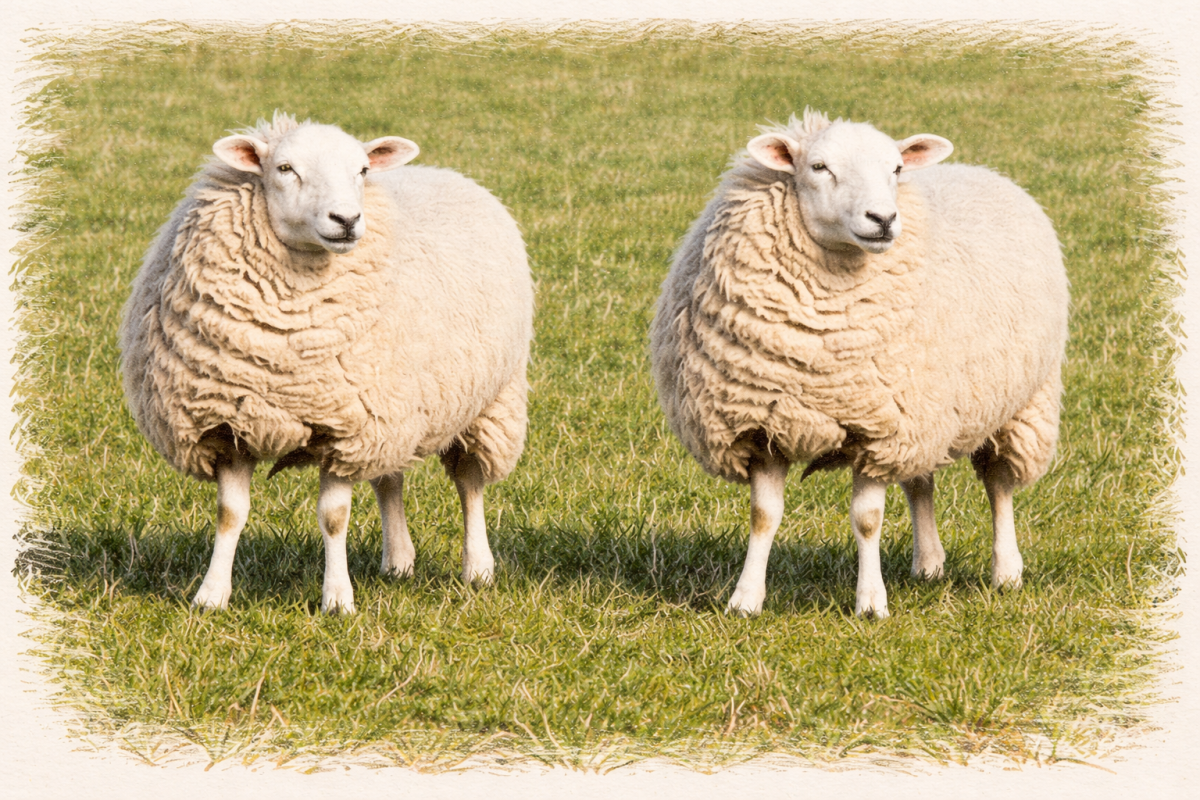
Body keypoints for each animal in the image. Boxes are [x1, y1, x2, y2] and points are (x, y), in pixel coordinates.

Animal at [119, 113, 534, 613]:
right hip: (394, 410)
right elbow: (229, 514)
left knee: (470, 482)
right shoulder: (231, 424)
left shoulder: (346, 430)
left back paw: (477, 569)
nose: (347, 220)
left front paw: (337, 600)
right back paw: (398, 561)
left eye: (362, 170)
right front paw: (211, 595)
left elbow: (334, 517)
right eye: (284, 168)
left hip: (488, 401)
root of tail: (446, 172)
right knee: (388, 479)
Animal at [650, 109, 1068, 618]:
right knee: (920, 482)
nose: (883, 219)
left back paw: (1006, 571)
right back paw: (929, 563)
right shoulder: (767, 425)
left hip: (1020, 403)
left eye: (896, 169)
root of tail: (983, 170)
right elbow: (763, 516)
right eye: (819, 167)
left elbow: (867, 520)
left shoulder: (879, 430)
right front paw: (745, 599)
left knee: (999, 484)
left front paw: (870, 603)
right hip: (925, 412)